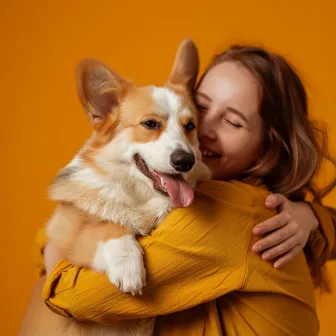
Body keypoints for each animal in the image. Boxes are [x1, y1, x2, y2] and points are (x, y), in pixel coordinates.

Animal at [45, 38, 210, 334]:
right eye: (150, 124)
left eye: (190, 126)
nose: (185, 161)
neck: (139, 196)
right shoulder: (65, 233)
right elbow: (105, 225)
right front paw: (127, 265)